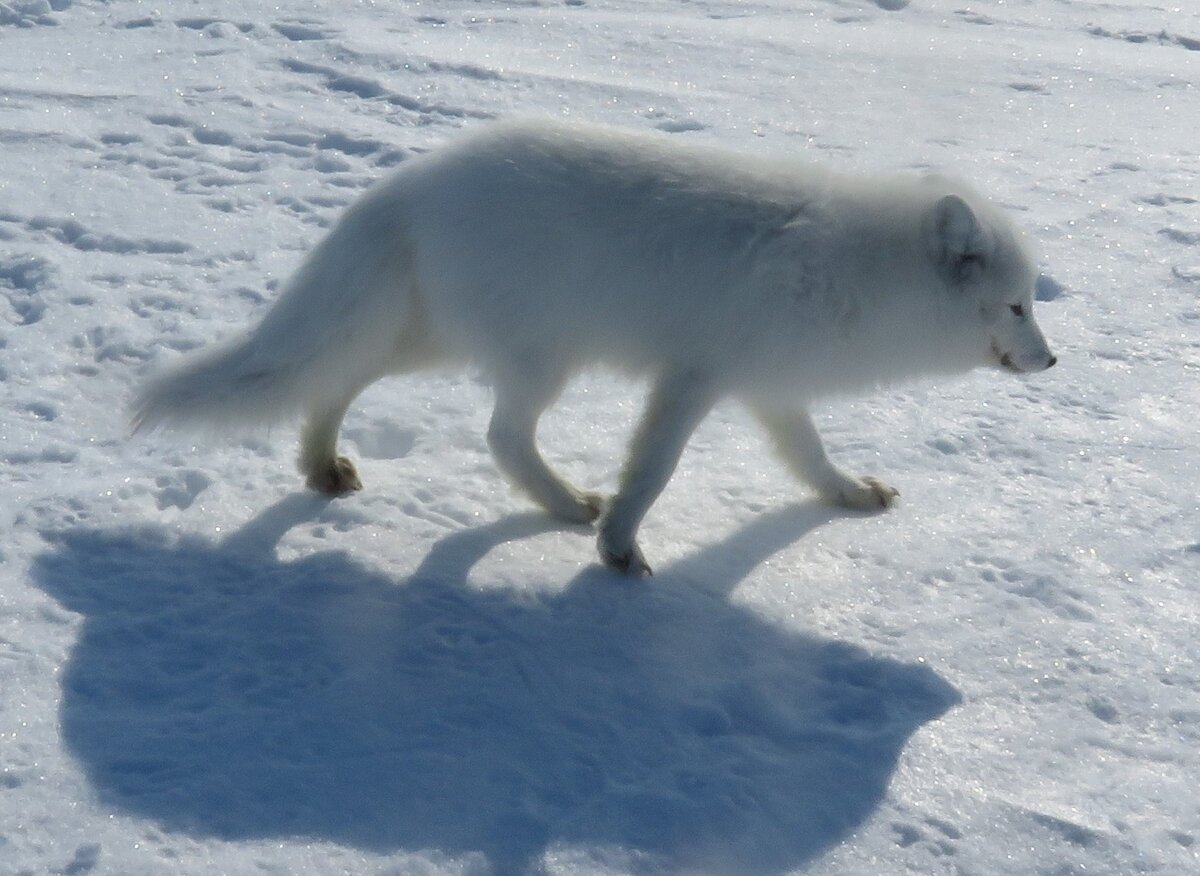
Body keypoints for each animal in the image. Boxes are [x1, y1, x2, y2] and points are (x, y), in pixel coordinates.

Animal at [136, 115, 1056, 573]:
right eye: (1016, 305)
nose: (1053, 360)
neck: (858, 268)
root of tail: (419, 176)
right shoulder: (695, 376)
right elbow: (652, 470)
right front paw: (619, 545)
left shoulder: (769, 387)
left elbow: (810, 457)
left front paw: (849, 494)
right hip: (541, 359)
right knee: (501, 437)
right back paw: (567, 505)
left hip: (438, 339)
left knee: (338, 377)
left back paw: (322, 466)